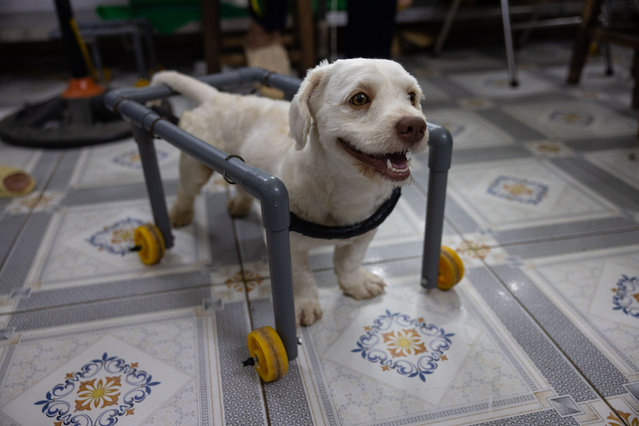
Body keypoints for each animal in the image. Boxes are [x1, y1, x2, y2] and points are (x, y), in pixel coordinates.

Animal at [152, 59, 428, 326]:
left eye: (412, 96)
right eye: (359, 99)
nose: (416, 126)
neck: (346, 188)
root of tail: (218, 96)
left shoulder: (364, 235)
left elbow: (349, 261)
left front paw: (355, 284)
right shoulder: (290, 247)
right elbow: (301, 277)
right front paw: (304, 304)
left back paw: (239, 205)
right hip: (194, 166)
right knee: (185, 191)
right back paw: (179, 215)